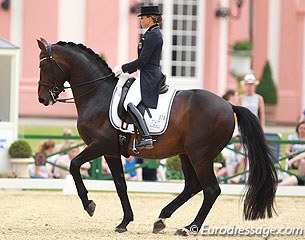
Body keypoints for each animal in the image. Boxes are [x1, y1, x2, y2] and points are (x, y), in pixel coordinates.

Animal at [36, 38, 276, 235]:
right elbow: (120, 185)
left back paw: (189, 228)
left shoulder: (100, 145)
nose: (42, 99)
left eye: (43, 66)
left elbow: (74, 165)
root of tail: (228, 105)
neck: (97, 94)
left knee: (211, 190)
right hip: (186, 153)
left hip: (200, 155)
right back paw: (161, 219)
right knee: (192, 186)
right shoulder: (112, 152)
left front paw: (89, 205)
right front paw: (124, 222)